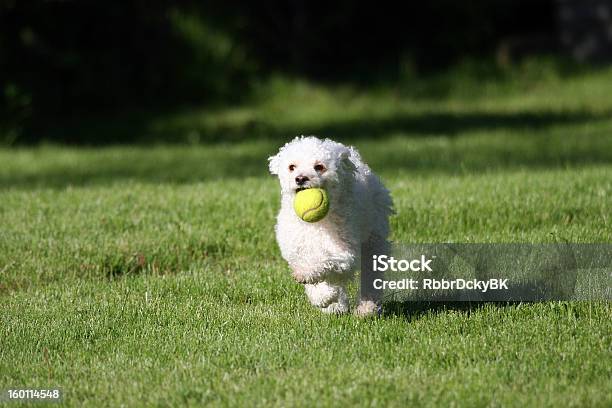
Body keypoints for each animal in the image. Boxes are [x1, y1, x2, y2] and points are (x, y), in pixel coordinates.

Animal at [266, 137, 392, 316]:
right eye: (292, 167)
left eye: (319, 166)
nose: (300, 178)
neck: (316, 225)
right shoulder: (296, 250)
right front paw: (325, 298)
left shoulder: (344, 252)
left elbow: (324, 262)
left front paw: (319, 290)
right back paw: (337, 305)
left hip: (373, 238)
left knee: (370, 273)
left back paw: (367, 307)